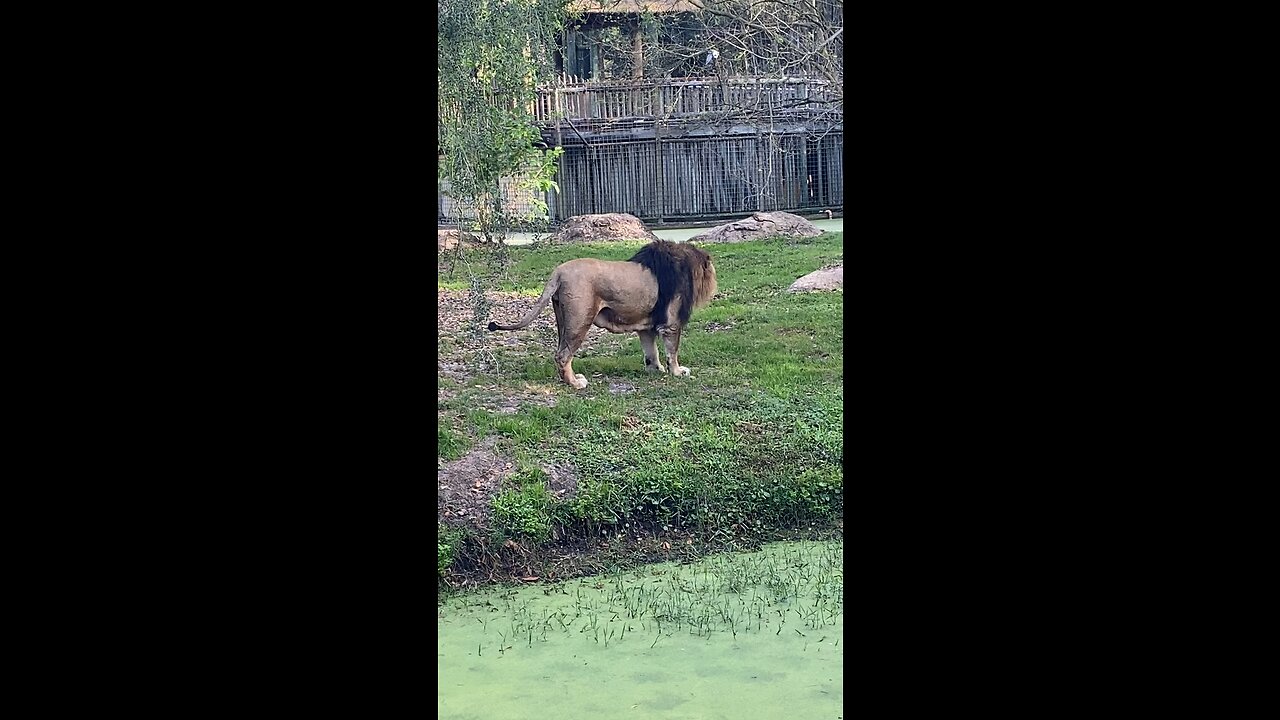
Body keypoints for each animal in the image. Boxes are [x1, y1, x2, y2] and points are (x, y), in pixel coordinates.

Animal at [483, 238, 716, 386]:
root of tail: (558, 272)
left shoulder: (646, 326)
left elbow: (651, 352)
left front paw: (655, 369)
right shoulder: (671, 324)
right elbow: (672, 351)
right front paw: (678, 372)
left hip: (562, 321)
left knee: (559, 353)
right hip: (580, 321)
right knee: (563, 355)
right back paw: (576, 383)